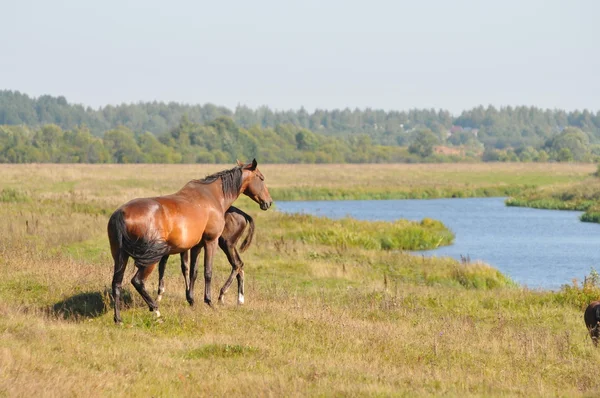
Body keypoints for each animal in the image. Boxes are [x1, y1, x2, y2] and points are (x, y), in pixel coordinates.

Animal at [108, 159, 272, 324]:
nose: (269, 202)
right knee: (137, 281)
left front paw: (192, 300)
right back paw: (156, 310)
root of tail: (121, 214)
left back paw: (118, 319)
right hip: (153, 258)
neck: (213, 196)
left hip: (120, 256)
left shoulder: (196, 246)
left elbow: (193, 272)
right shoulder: (210, 241)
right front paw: (209, 302)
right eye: (261, 178)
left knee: (116, 283)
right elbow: (207, 272)